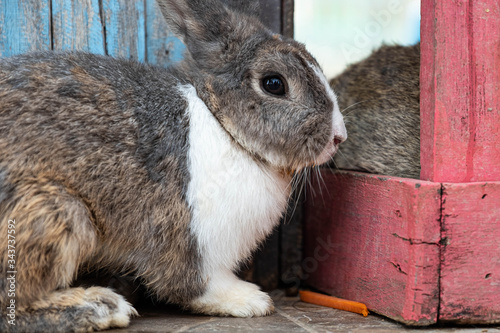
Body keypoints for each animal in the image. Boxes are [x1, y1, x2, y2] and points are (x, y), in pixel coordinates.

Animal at [0, 0, 346, 330]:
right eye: (274, 83)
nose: (338, 137)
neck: (223, 124)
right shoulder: (191, 241)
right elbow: (192, 285)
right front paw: (251, 300)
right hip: (59, 214)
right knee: (13, 306)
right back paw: (101, 307)